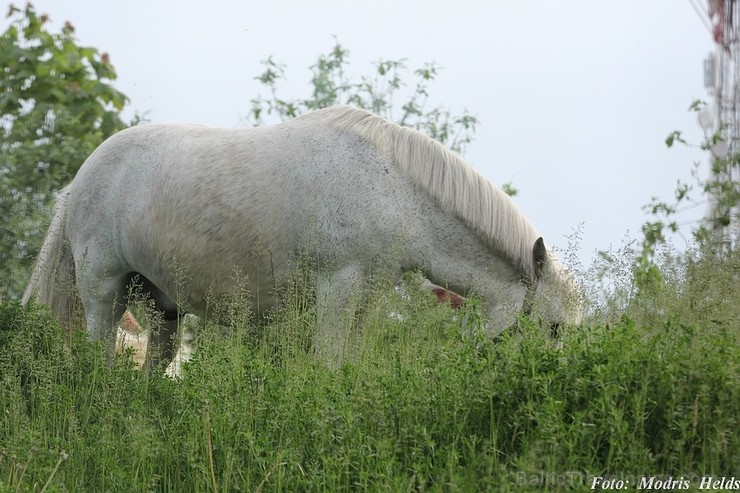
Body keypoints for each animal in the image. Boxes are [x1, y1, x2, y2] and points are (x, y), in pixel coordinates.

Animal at [21, 106, 584, 368]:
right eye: (554, 328)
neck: (393, 187)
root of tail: (78, 181)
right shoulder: (338, 289)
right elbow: (329, 365)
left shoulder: (364, 298)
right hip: (104, 292)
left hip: (164, 309)